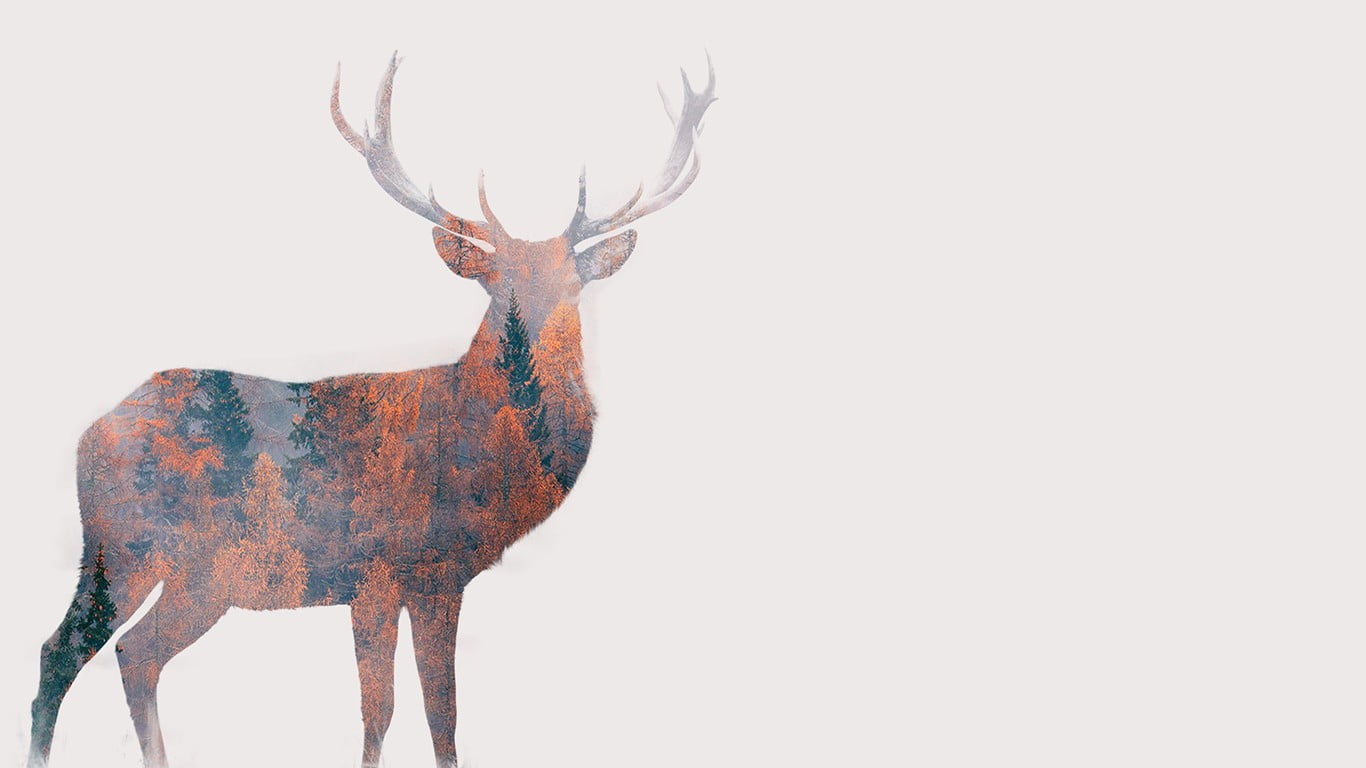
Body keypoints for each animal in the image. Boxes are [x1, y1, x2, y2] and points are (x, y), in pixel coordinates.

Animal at [28, 52, 715, 768]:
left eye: (573, 285)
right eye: (495, 285)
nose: (529, 341)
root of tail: (90, 432)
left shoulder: (436, 578)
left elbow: (442, 714)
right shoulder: (382, 568)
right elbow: (386, 709)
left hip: (193, 573)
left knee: (124, 652)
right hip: (139, 549)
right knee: (74, 652)